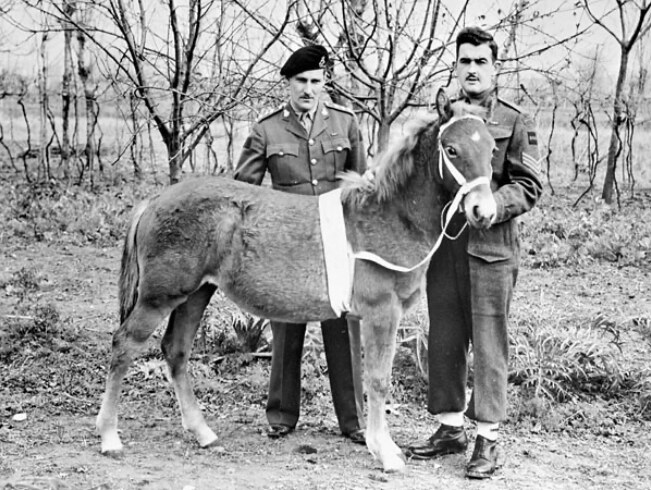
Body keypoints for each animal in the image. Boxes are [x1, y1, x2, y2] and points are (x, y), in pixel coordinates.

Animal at [96, 91, 497, 474]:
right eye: (452, 149)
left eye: (492, 148)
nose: (484, 212)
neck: (387, 216)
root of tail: (153, 201)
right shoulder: (382, 314)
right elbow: (378, 380)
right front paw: (386, 454)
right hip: (159, 298)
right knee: (125, 345)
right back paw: (110, 437)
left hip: (196, 295)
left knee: (175, 351)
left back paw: (203, 433)